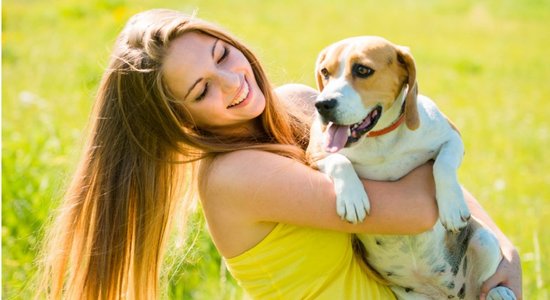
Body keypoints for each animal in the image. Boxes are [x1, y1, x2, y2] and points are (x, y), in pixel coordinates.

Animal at [310, 37, 516, 300]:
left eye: (363, 70)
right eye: (325, 72)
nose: (322, 104)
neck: (379, 139)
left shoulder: (452, 136)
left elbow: (443, 165)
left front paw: (451, 207)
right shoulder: (314, 152)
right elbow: (339, 161)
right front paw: (352, 198)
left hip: (484, 240)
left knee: (484, 286)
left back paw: (499, 292)